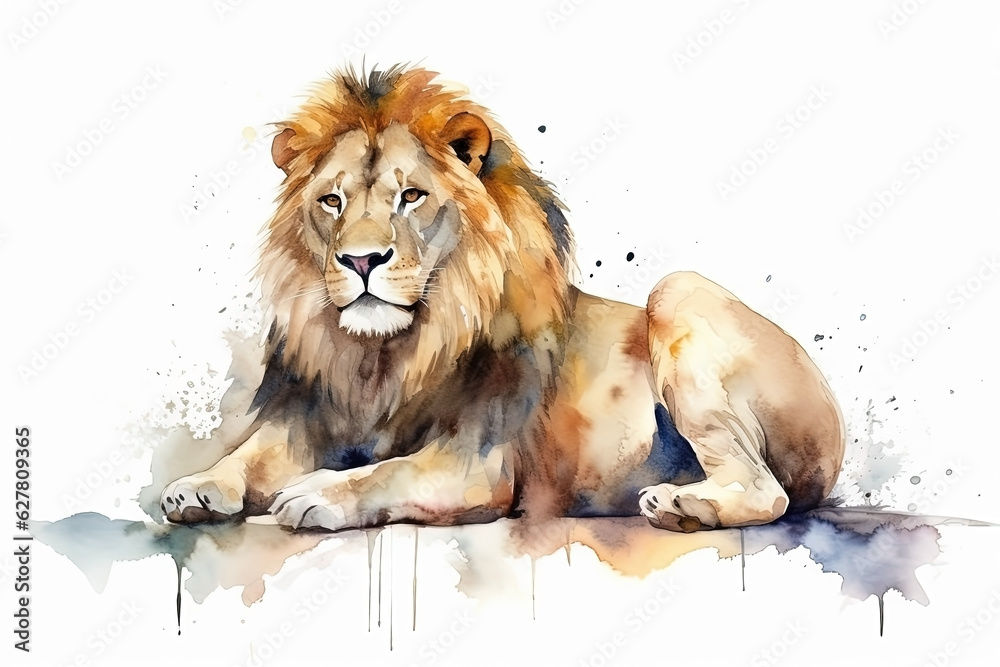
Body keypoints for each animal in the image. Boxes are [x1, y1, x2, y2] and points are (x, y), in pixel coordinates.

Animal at [160, 65, 844, 533]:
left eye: (411, 196)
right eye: (332, 201)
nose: (360, 261)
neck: (385, 356)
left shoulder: (476, 466)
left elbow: (385, 470)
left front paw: (317, 493)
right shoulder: (312, 414)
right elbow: (250, 455)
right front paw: (195, 487)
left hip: (678, 292)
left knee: (768, 491)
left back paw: (680, 504)